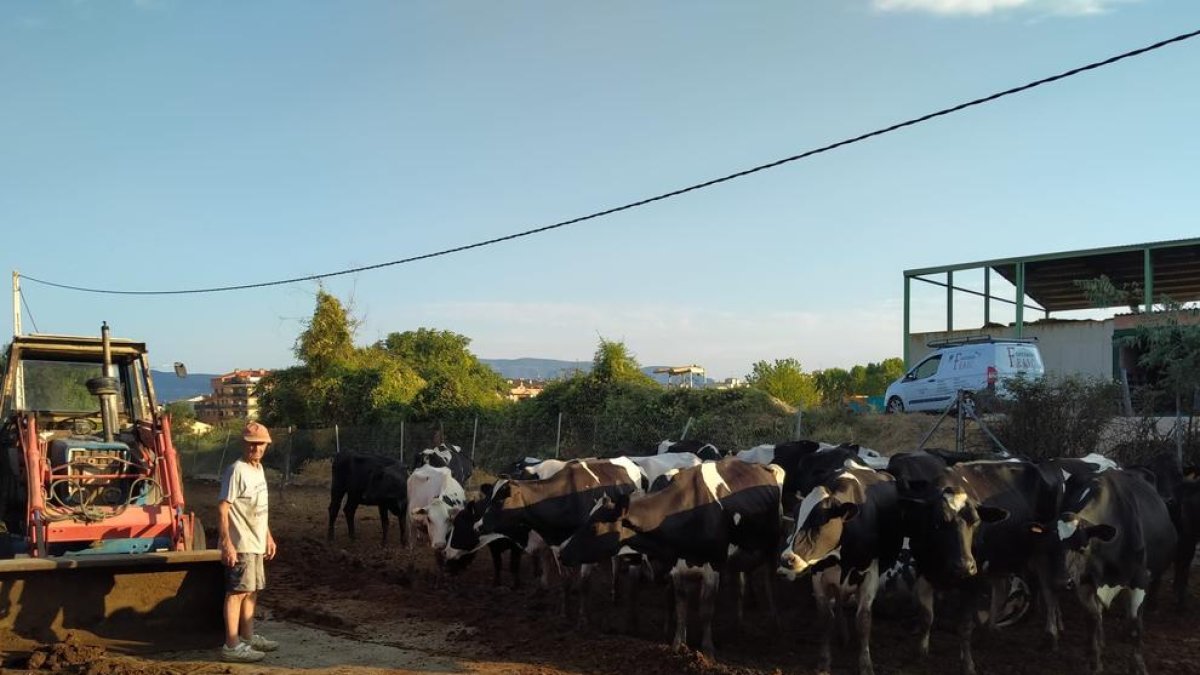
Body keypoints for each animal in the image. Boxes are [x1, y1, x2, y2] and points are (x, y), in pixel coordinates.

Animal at [554, 456, 782, 658]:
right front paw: (678, 645)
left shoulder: (714, 564)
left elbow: (706, 609)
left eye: (593, 526)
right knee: (741, 583)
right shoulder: (676, 566)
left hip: (771, 546)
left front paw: (708, 648)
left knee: (769, 581)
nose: (564, 552)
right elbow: (681, 606)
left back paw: (773, 622)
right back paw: (739, 623)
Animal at [777, 466, 902, 672]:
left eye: (820, 520)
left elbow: (863, 620)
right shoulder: (818, 576)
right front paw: (824, 662)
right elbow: (826, 618)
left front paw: (866, 664)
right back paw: (843, 635)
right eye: (795, 518)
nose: (787, 559)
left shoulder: (870, 574)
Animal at [1060, 468, 1171, 672]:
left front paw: (1138, 666)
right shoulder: (1084, 581)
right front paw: (1095, 663)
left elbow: (1135, 625)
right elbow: (1092, 619)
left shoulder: (1139, 580)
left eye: (1083, 547)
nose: (1063, 581)